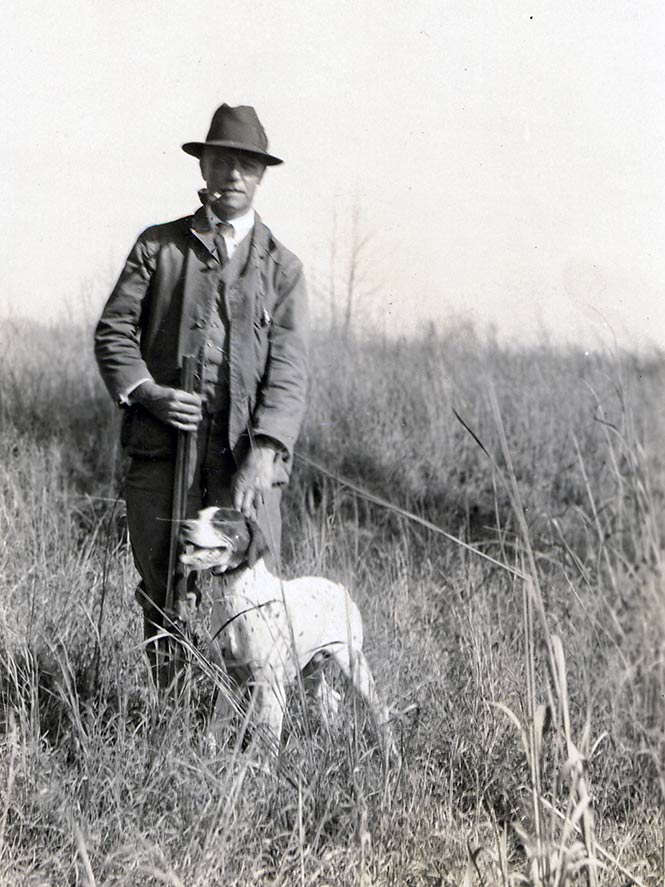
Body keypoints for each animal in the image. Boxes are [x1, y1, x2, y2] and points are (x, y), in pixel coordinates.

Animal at [179, 510, 394, 760]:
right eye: (198, 516)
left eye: (221, 521)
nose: (184, 526)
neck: (238, 599)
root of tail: (341, 588)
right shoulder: (230, 679)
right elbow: (217, 725)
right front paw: (209, 757)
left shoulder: (271, 689)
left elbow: (267, 743)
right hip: (310, 671)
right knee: (331, 699)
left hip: (352, 663)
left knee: (379, 708)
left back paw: (391, 753)